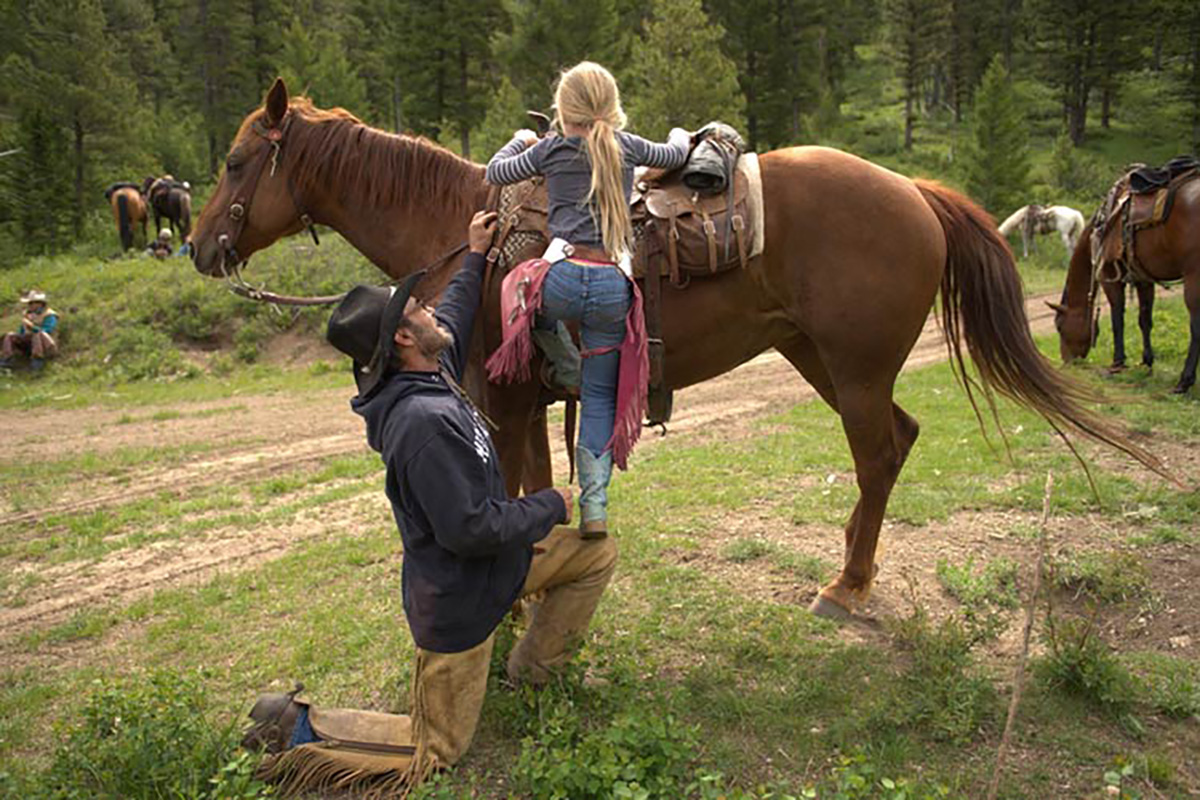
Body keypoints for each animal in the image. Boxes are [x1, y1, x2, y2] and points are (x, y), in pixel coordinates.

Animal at [192, 79, 1166, 618]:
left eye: (237, 162)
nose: (200, 248)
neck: (456, 228)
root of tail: (916, 190)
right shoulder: (524, 411)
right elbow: (530, 496)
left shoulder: (506, 408)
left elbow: (528, 499)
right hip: (823, 361)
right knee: (901, 439)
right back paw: (852, 567)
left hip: (851, 370)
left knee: (879, 453)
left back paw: (847, 586)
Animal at [1051, 154, 1200, 393]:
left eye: (1059, 326)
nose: (1067, 361)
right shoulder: (1143, 279)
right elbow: (1144, 319)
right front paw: (1147, 361)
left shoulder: (1109, 278)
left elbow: (1117, 318)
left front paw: (1118, 362)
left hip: (1194, 278)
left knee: (1196, 327)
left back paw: (1183, 382)